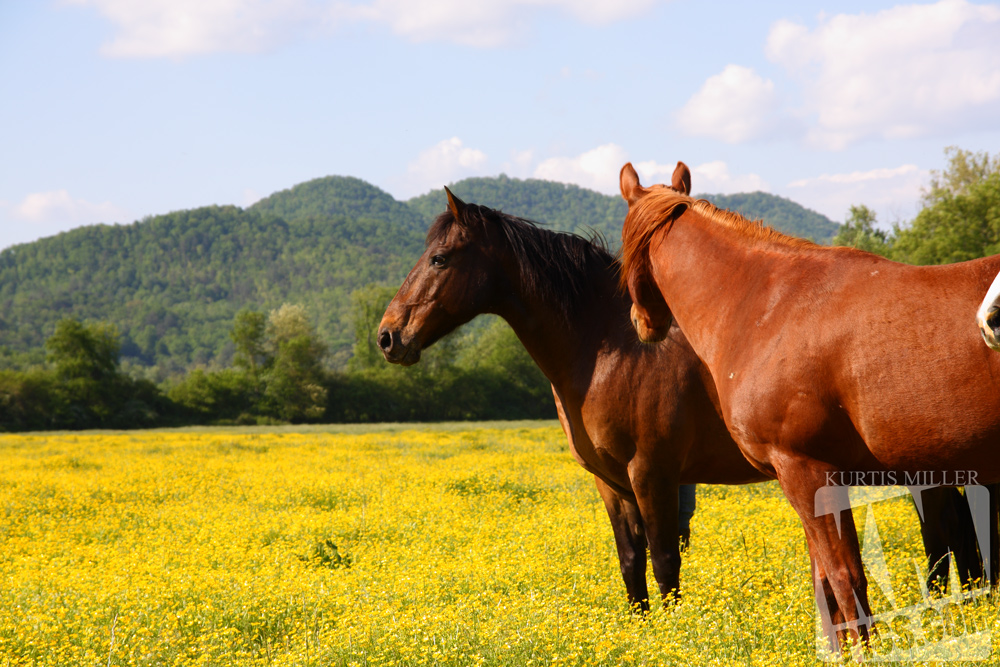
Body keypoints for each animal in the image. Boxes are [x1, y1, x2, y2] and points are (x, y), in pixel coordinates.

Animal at [378, 185, 980, 620]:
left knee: (944, 543)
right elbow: (631, 565)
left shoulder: (653, 474)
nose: (388, 336)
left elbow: (665, 563)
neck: (606, 346)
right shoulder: (612, 484)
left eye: (440, 258)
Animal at [616, 160, 1000, 648]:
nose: (640, 322)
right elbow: (826, 588)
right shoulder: (808, 480)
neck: (765, 307)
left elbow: (844, 579)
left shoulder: (806, 470)